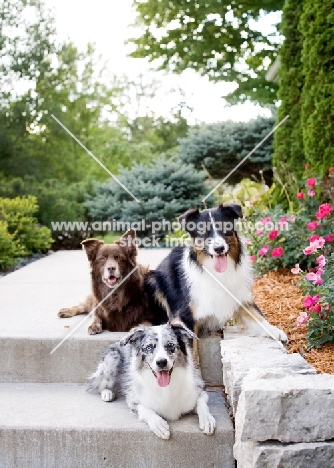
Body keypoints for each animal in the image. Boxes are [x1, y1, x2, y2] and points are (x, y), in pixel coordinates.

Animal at [87, 322, 215, 438]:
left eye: (170, 345)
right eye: (149, 347)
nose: (161, 362)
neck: (166, 388)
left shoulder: (199, 388)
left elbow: (202, 402)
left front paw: (207, 420)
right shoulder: (132, 399)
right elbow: (144, 408)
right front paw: (158, 424)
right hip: (113, 359)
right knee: (98, 384)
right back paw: (107, 393)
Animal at [150, 205, 288, 344]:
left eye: (225, 228)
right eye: (202, 232)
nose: (219, 248)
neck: (217, 274)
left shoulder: (239, 297)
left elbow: (257, 316)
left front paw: (275, 331)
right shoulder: (185, 317)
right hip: (152, 280)